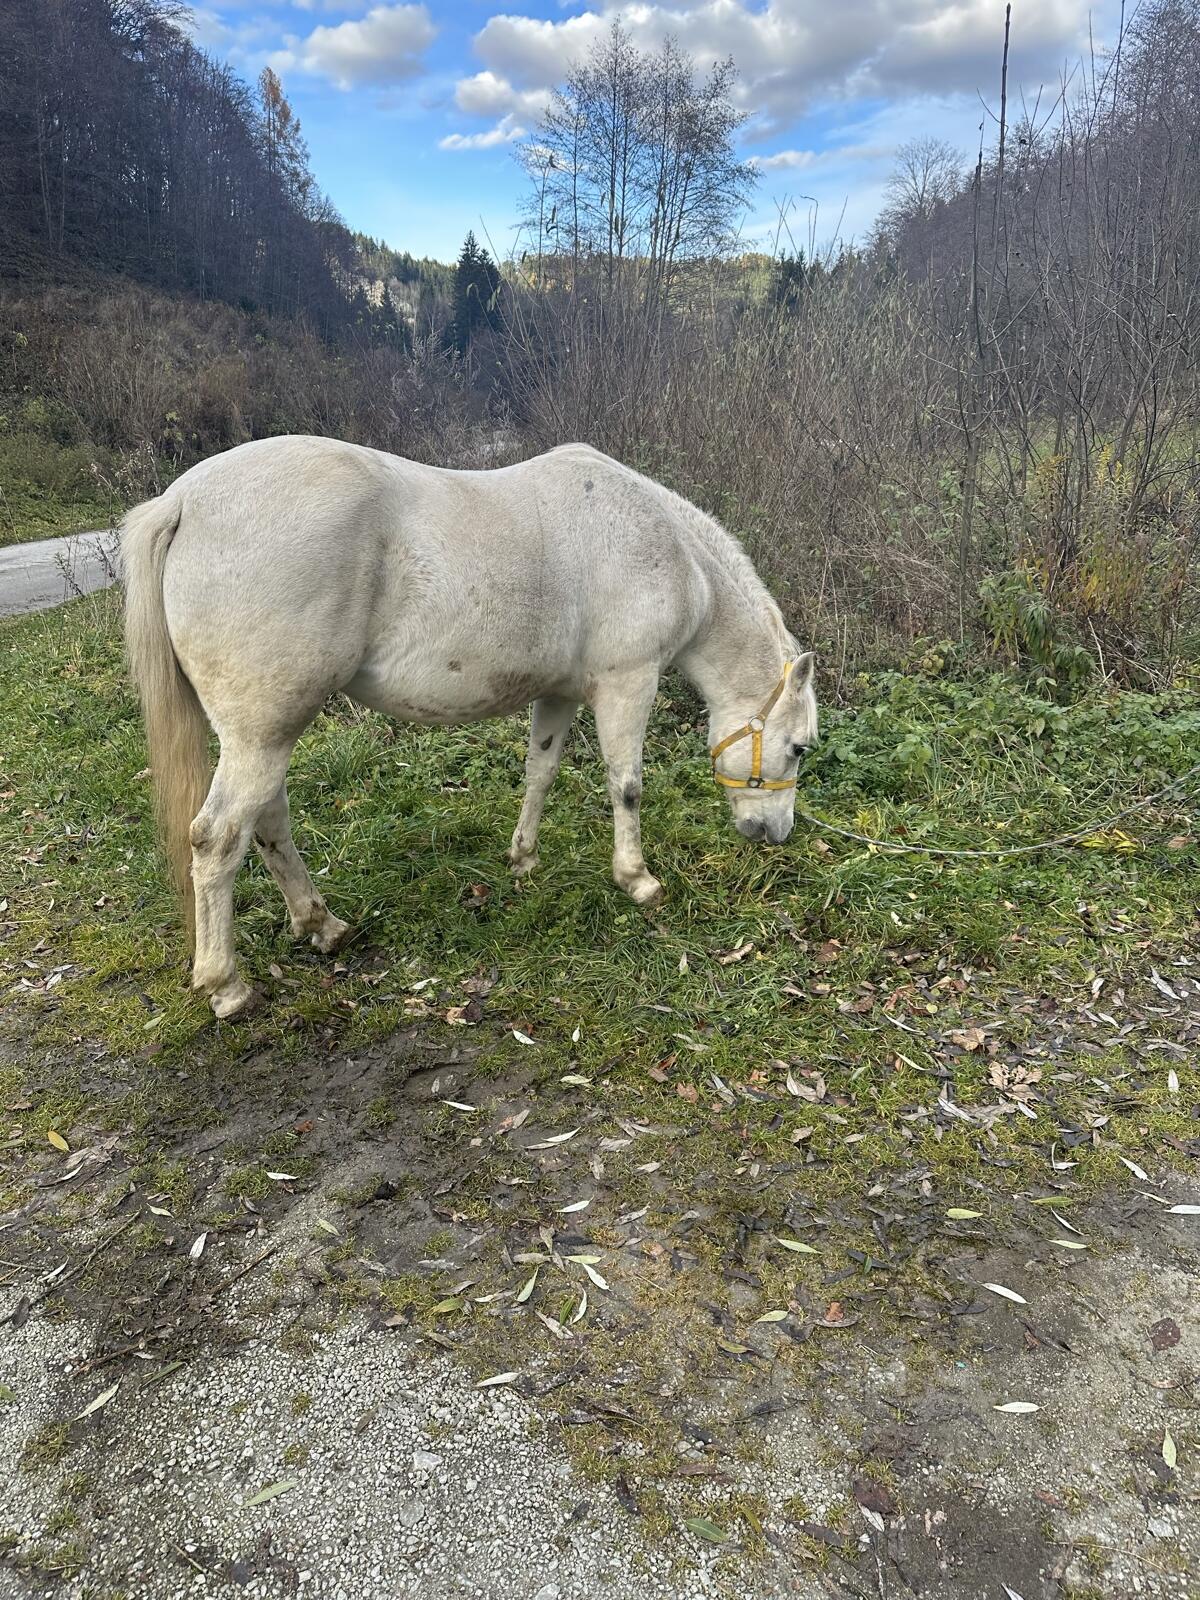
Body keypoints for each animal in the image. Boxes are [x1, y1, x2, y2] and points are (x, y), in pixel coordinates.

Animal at [123, 436, 818, 1019]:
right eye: (799, 748)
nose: (775, 834)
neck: (669, 550)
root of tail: (183, 501)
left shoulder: (559, 693)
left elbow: (541, 771)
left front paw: (523, 859)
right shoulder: (629, 683)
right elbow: (626, 785)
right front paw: (637, 881)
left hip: (264, 733)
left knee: (267, 822)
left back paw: (321, 926)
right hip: (263, 733)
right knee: (218, 838)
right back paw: (227, 986)